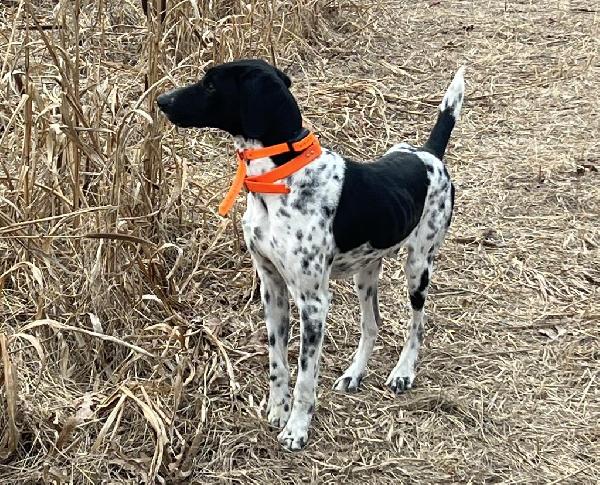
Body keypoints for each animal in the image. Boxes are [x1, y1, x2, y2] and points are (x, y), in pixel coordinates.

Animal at [157, 59, 466, 450]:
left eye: (211, 85)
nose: (162, 100)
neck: (279, 178)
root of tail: (429, 154)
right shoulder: (271, 288)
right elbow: (277, 362)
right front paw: (278, 409)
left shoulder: (313, 302)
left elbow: (306, 375)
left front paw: (296, 428)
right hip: (367, 271)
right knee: (372, 324)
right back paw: (354, 373)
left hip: (418, 266)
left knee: (417, 325)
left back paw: (403, 372)